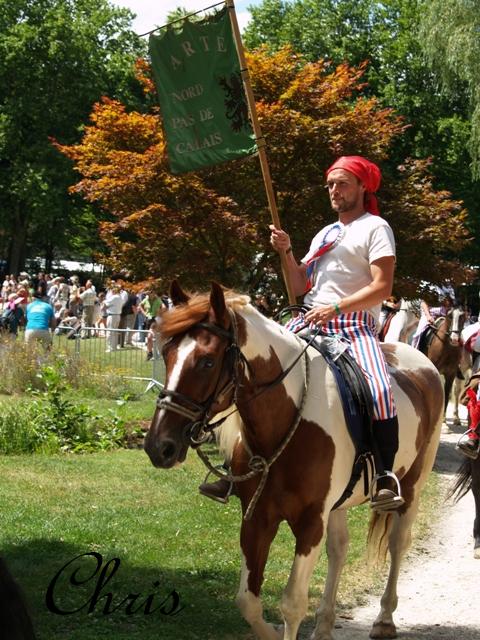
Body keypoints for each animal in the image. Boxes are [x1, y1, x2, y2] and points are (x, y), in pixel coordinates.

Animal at [144, 284, 444, 640]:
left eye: (206, 361)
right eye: (167, 354)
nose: (158, 446)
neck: (288, 418)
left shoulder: (311, 522)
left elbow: (292, 604)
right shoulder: (257, 517)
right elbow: (247, 600)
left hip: (411, 487)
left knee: (398, 544)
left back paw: (384, 619)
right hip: (339, 504)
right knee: (339, 548)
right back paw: (325, 626)